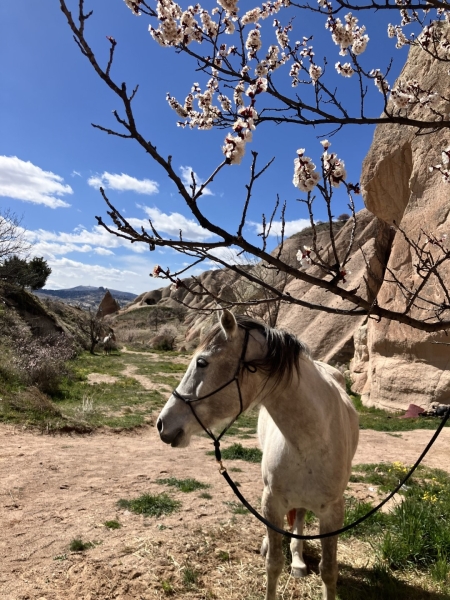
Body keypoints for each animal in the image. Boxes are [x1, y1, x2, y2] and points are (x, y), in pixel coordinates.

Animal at [156, 312, 356, 596]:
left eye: (202, 362)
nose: (162, 424)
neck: (311, 439)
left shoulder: (333, 513)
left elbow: (329, 571)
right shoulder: (271, 501)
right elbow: (273, 564)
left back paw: (298, 561)